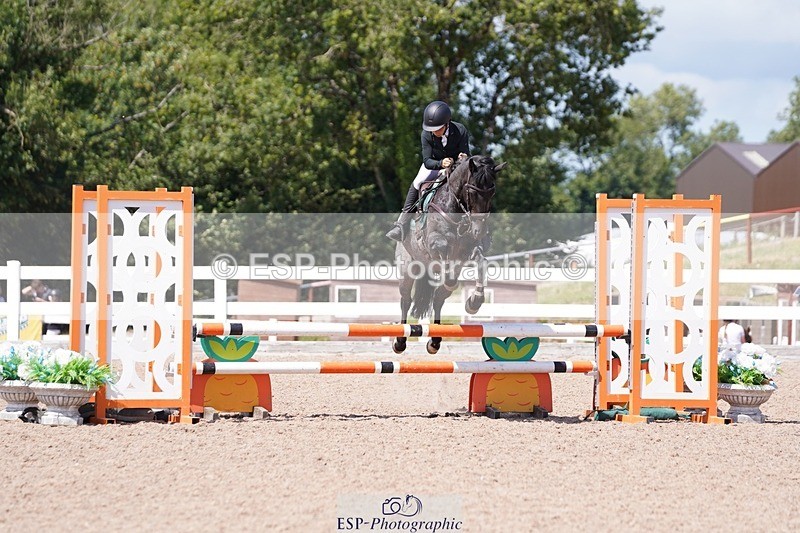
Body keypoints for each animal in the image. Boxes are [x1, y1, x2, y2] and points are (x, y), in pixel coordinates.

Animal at [393, 155, 507, 354]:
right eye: (472, 190)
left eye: (492, 193)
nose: (479, 231)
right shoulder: (435, 244)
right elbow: (446, 265)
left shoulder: (468, 250)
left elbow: (481, 262)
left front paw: (474, 302)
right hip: (407, 269)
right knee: (406, 300)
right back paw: (400, 342)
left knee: (438, 300)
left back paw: (435, 341)